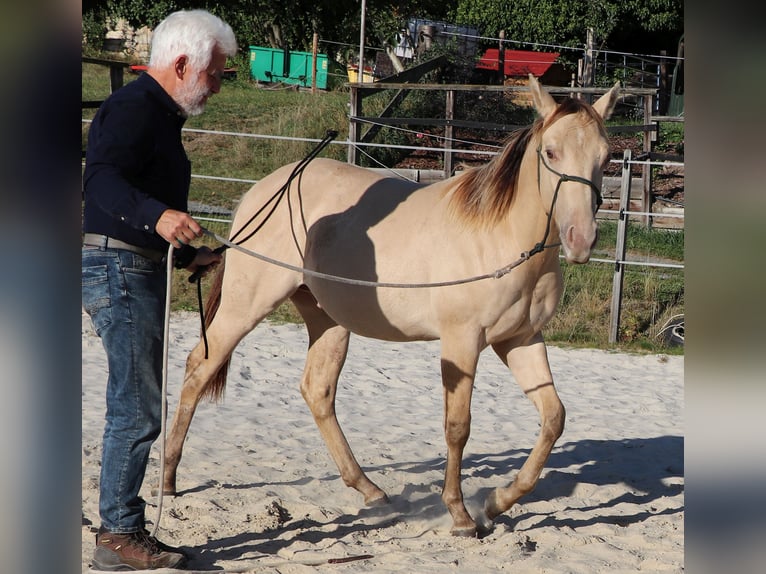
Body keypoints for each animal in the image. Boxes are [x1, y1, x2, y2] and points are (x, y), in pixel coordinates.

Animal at [165, 76, 620, 540]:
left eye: (606, 156)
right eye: (551, 152)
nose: (581, 239)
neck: (501, 237)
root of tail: (264, 190)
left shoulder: (520, 340)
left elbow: (553, 418)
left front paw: (497, 502)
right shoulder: (462, 342)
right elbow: (458, 427)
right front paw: (460, 514)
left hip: (329, 321)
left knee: (317, 391)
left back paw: (371, 490)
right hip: (246, 306)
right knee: (199, 368)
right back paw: (168, 477)